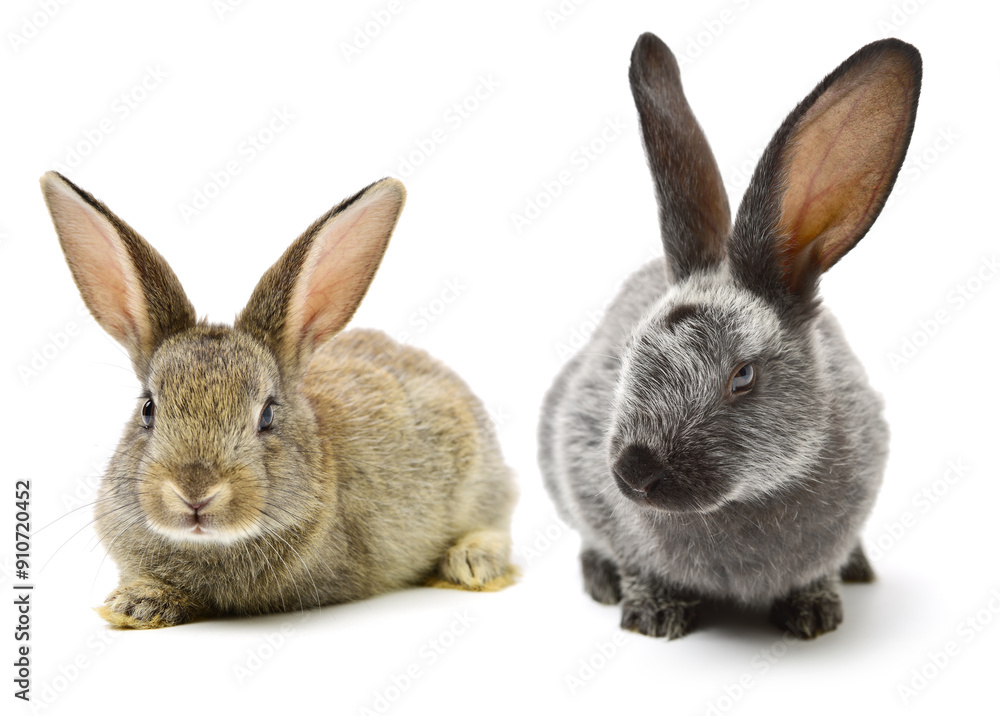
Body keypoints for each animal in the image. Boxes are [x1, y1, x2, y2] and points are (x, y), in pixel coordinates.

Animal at [42, 172, 517, 629]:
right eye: (148, 409)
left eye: (267, 414)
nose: (195, 494)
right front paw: (135, 604)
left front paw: (136, 605)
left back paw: (471, 564)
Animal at [538, 34, 921, 639]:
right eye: (629, 355)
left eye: (742, 376)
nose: (635, 472)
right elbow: (634, 561)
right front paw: (652, 615)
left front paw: (815, 615)